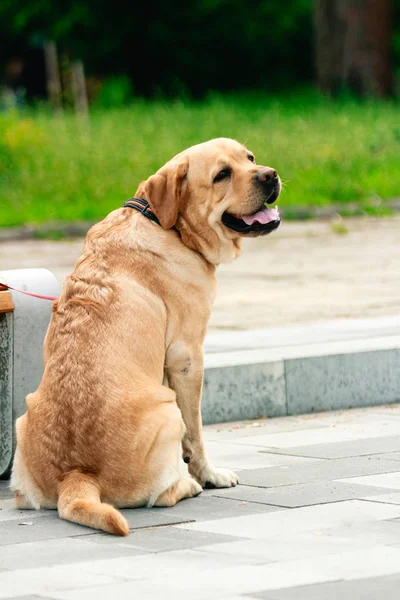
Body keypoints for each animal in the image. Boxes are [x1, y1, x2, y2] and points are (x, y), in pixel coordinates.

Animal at [10, 138, 282, 536]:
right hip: (167, 408)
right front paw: (210, 475)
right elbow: (197, 432)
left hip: (22, 421)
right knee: (163, 494)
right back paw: (188, 485)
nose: (270, 174)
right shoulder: (187, 356)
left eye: (250, 158)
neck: (166, 224)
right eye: (221, 174)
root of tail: (76, 473)